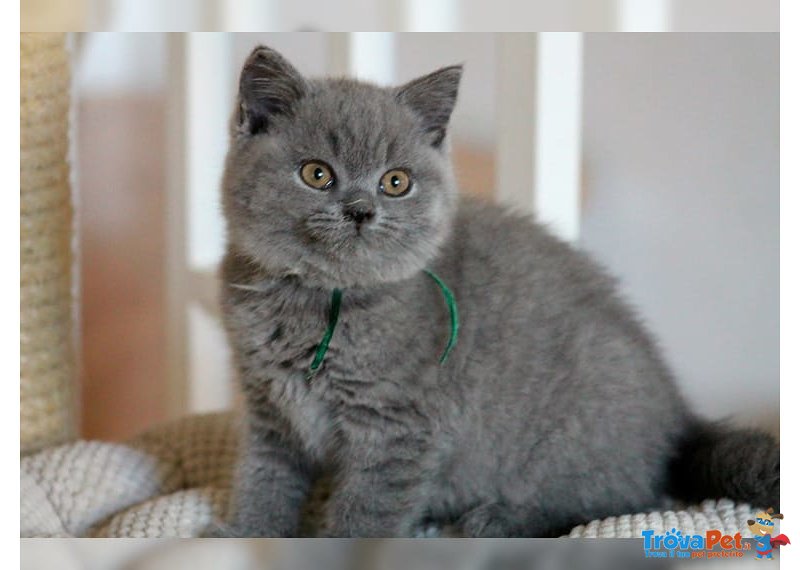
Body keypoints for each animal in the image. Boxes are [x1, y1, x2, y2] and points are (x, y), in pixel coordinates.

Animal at [208, 46, 780, 536]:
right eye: (316, 174)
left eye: (396, 182)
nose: (361, 210)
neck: (319, 299)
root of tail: (681, 416)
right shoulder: (269, 411)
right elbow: (264, 480)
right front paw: (246, 534)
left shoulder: (397, 429)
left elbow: (366, 511)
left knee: (619, 500)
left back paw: (497, 519)